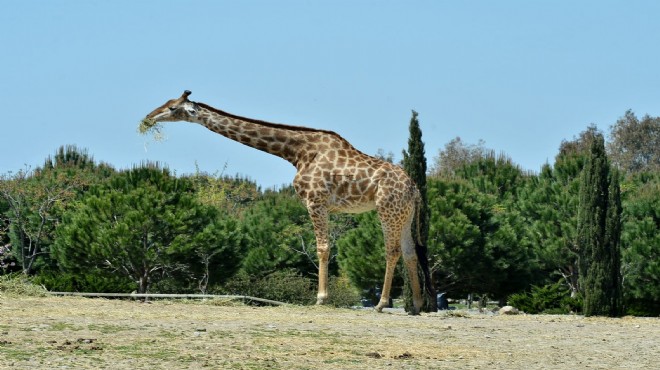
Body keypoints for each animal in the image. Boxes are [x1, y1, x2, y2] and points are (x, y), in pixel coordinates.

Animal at [143, 91, 434, 314]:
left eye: (172, 107)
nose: (147, 118)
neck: (296, 152)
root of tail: (415, 189)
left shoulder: (316, 202)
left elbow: (323, 248)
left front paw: (321, 298)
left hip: (386, 209)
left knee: (392, 250)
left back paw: (381, 304)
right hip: (404, 213)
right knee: (410, 251)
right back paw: (417, 305)